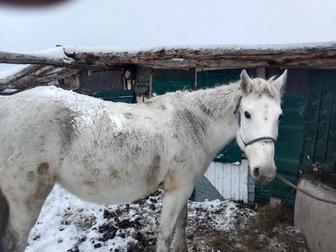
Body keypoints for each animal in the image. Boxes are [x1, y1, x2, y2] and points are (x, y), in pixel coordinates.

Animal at [0, 69, 286, 252]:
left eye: (280, 116)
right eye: (247, 114)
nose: (266, 171)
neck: (192, 125)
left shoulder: (183, 191)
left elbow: (181, 228)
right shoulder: (175, 192)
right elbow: (166, 235)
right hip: (26, 201)